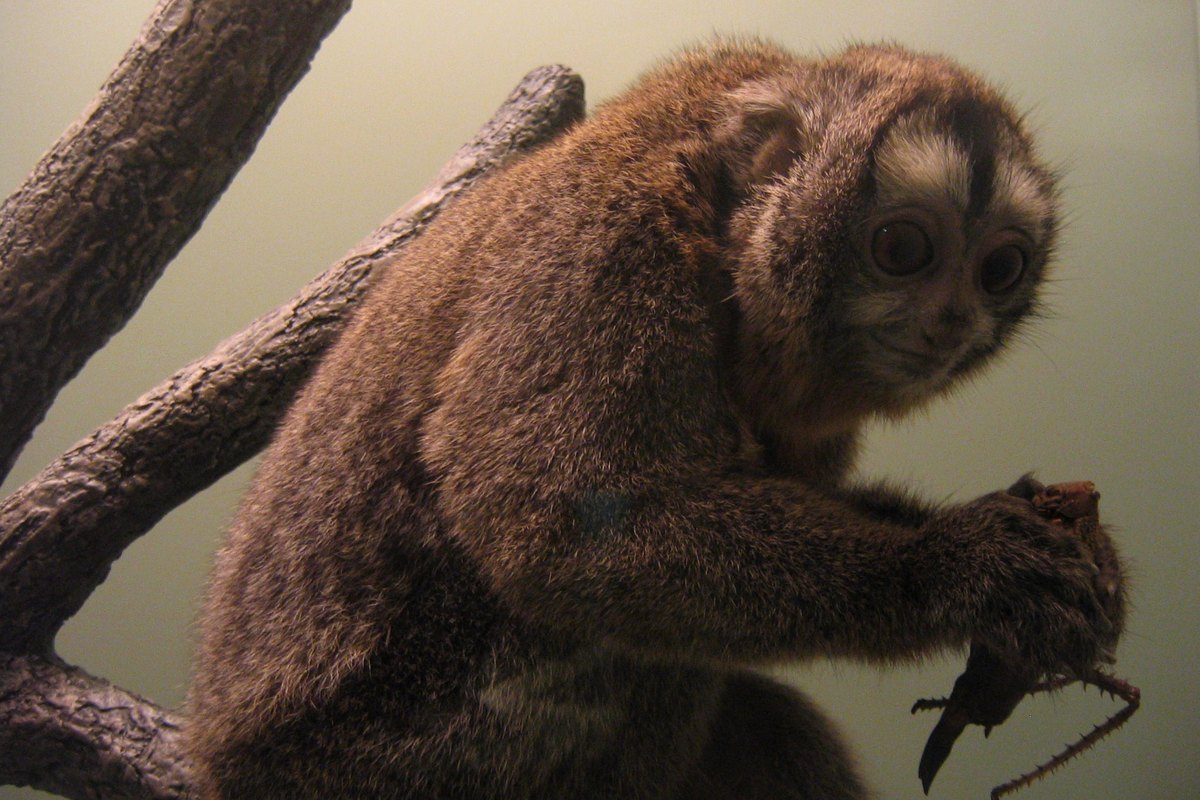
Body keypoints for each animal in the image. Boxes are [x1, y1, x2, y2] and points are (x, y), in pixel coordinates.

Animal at [187, 39, 1124, 799]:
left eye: (1000, 269)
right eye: (902, 249)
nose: (953, 322)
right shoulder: (605, 242)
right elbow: (550, 532)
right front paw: (956, 567)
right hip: (395, 756)